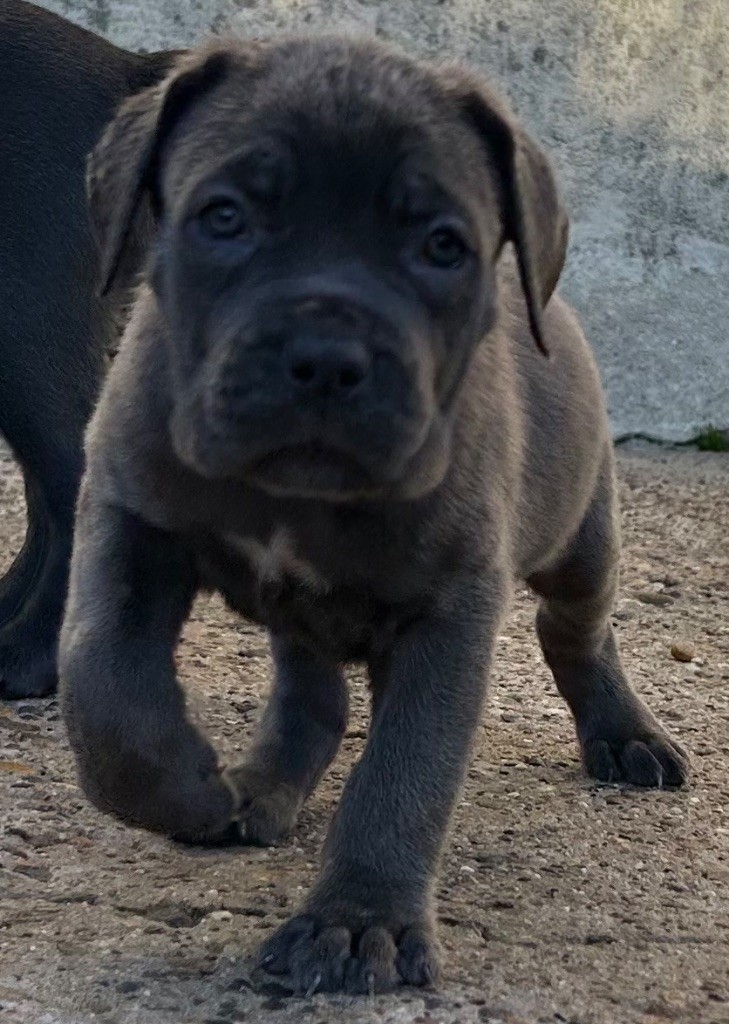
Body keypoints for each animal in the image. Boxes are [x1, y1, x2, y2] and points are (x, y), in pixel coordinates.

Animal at [58, 37, 688, 991]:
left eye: (441, 246)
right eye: (224, 217)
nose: (326, 354)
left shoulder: (449, 612)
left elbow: (403, 772)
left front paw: (358, 924)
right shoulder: (132, 521)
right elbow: (103, 686)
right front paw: (192, 790)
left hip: (582, 536)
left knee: (575, 631)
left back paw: (626, 735)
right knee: (313, 696)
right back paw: (258, 784)